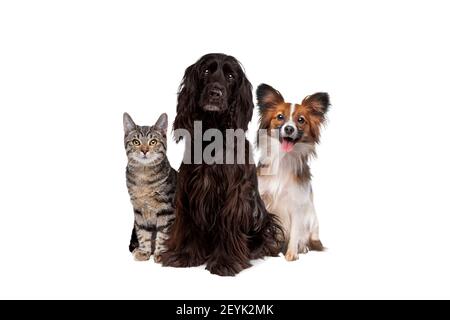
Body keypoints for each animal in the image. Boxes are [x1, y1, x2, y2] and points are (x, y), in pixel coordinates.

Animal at [125, 112, 178, 262]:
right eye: (136, 142)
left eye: (153, 142)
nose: (144, 150)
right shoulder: (138, 208)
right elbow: (143, 231)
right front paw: (144, 251)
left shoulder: (167, 209)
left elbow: (164, 233)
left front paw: (161, 253)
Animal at [160, 53, 284, 276]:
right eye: (206, 71)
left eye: (230, 76)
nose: (215, 93)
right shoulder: (189, 189)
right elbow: (189, 224)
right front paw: (184, 255)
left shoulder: (234, 194)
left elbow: (228, 224)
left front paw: (226, 261)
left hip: (261, 217)